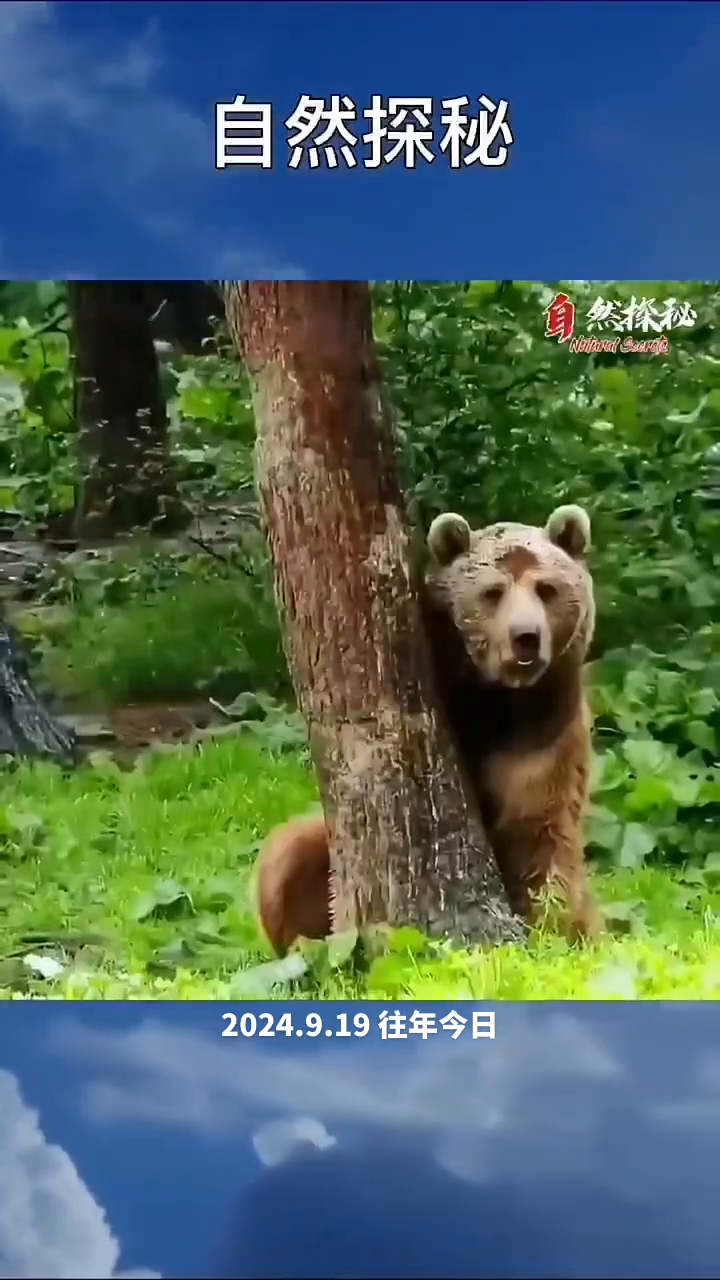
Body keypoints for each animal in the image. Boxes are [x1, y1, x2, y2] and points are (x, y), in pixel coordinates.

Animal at [257, 503, 601, 955]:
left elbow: (542, 838)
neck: (500, 704)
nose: (525, 637)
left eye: (546, 588)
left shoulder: (545, 738)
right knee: (287, 858)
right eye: (492, 592)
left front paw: (548, 927)